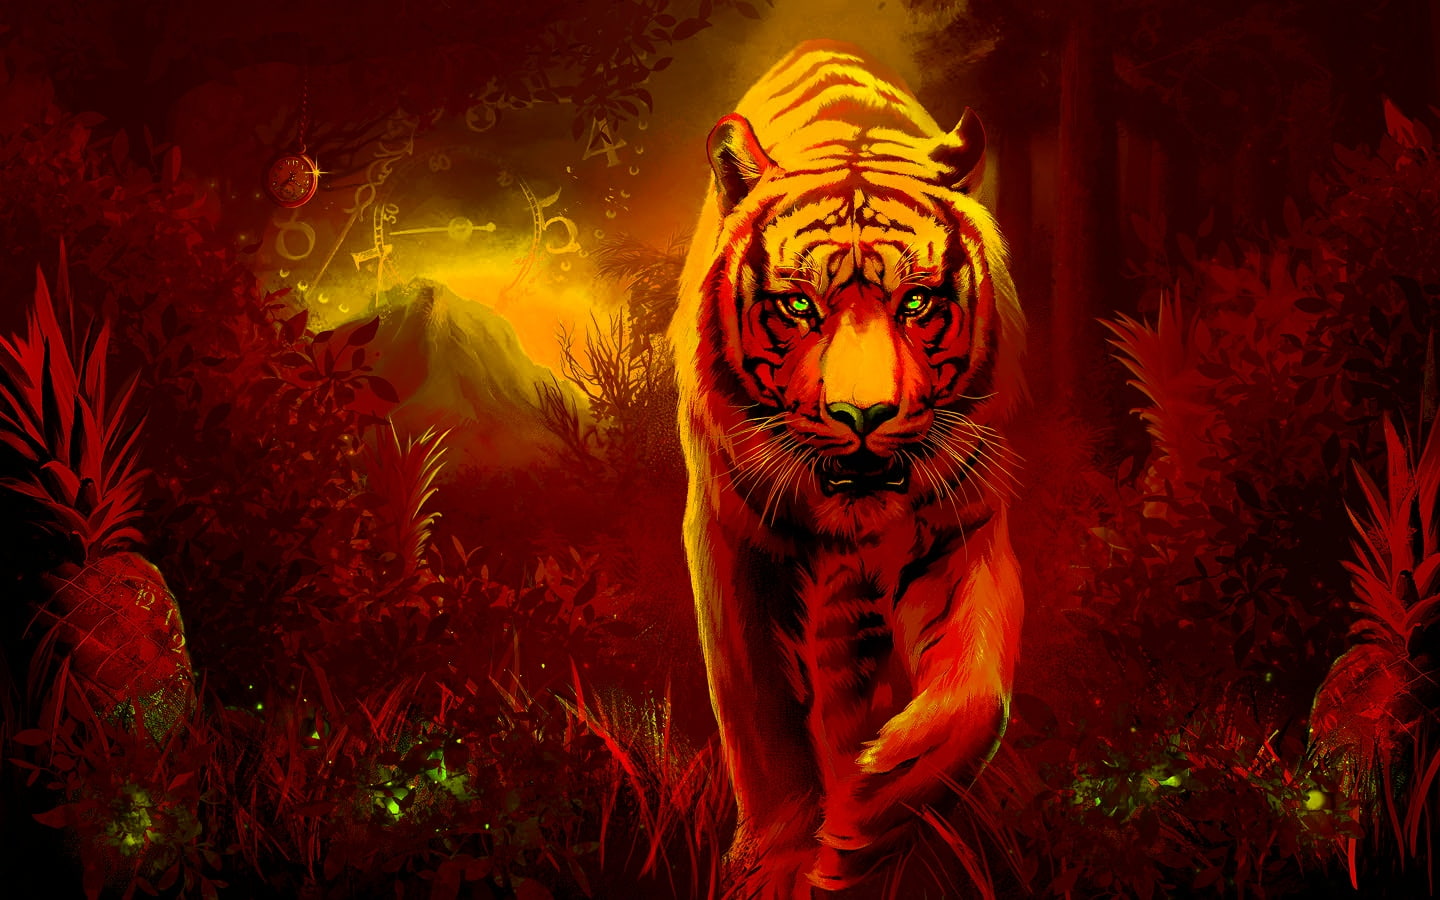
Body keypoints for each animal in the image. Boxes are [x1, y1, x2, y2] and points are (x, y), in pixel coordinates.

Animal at [668, 40, 1027, 896]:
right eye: (799, 307)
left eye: (917, 303)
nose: (861, 416)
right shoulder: (731, 538)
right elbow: (761, 719)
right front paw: (777, 864)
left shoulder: (966, 525)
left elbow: (975, 697)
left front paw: (863, 812)